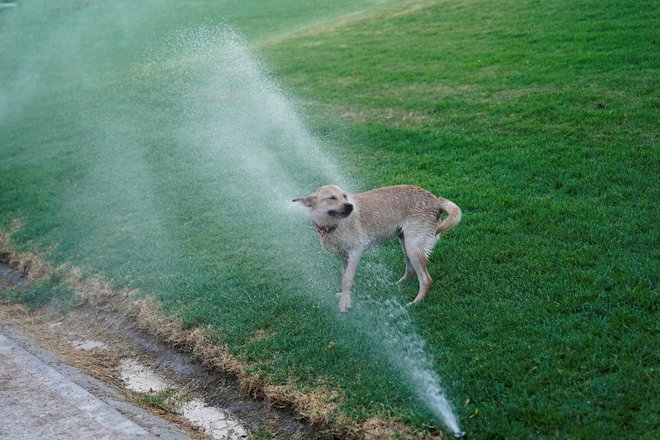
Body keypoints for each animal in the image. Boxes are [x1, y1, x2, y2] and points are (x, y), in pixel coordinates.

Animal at [292, 184, 462, 312]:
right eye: (331, 198)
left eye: (345, 196)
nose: (350, 206)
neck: (334, 225)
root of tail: (435, 200)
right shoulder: (344, 255)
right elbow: (344, 275)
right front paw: (344, 295)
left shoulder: (356, 251)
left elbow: (347, 279)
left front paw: (344, 304)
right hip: (405, 243)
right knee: (411, 271)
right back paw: (398, 284)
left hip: (413, 247)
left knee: (426, 279)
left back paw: (416, 302)